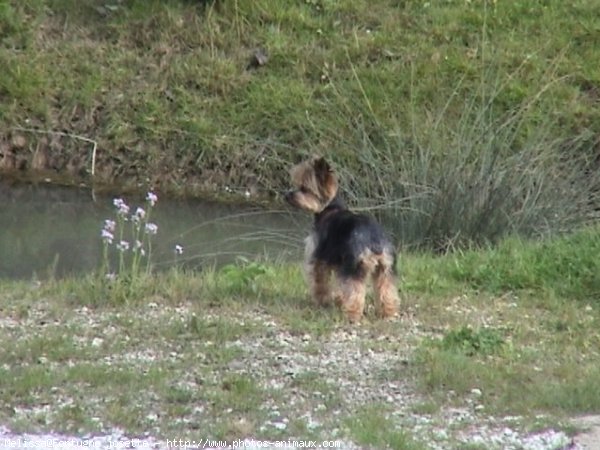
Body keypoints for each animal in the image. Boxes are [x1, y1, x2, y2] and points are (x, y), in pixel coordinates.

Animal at [284, 156, 398, 322]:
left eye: (304, 188)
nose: (286, 195)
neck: (329, 209)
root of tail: (374, 241)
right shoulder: (339, 262)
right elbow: (339, 285)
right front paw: (338, 300)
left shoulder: (319, 258)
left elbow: (320, 282)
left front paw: (322, 301)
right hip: (385, 267)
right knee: (387, 288)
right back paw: (388, 313)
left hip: (354, 266)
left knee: (356, 292)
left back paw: (352, 314)